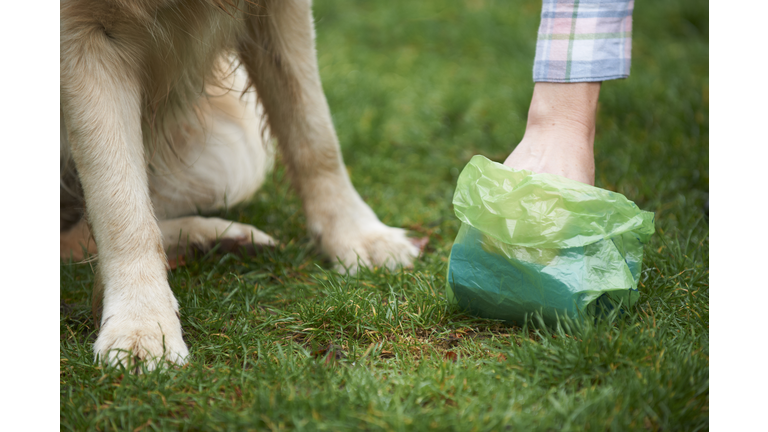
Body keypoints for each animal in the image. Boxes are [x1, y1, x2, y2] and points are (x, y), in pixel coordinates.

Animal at [59, 0, 420, 372]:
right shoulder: (80, 35)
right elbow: (120, 205)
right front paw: (142, 324)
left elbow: (314, 131)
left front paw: (357, 235)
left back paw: (220, 239)